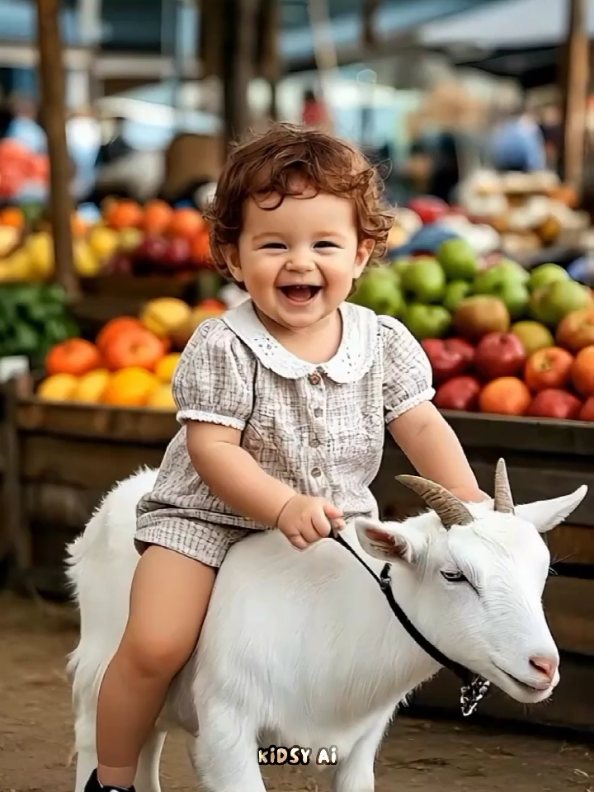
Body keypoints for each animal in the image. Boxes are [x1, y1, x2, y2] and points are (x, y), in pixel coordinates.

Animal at [67, 458, 584, 792]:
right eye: (454, 574)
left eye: (542, 570)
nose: (543, 666)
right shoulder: (226, 727)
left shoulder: (361, 744)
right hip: (109, 664)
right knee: (100, 732)